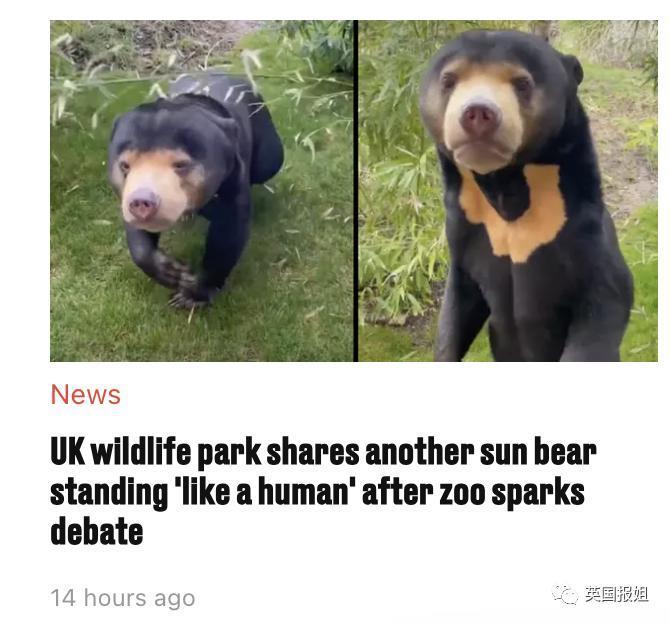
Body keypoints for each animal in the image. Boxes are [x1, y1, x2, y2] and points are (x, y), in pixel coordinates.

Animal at [108, 73, 284, 309]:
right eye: (125, 165)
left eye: (181, 164)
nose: (142, 201)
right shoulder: (126, 194)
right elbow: (139, 243)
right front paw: (170, 272)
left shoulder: (232, 179)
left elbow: (226, 239)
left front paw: (194, 294)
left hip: (267, 142)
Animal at [419, 30, 633, 361]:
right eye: (449, 80)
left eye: (522, 83)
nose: (477, 113)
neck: (505, 185)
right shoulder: (465, 231)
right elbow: (456, 310)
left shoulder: (584, 233)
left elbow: (605, 300)